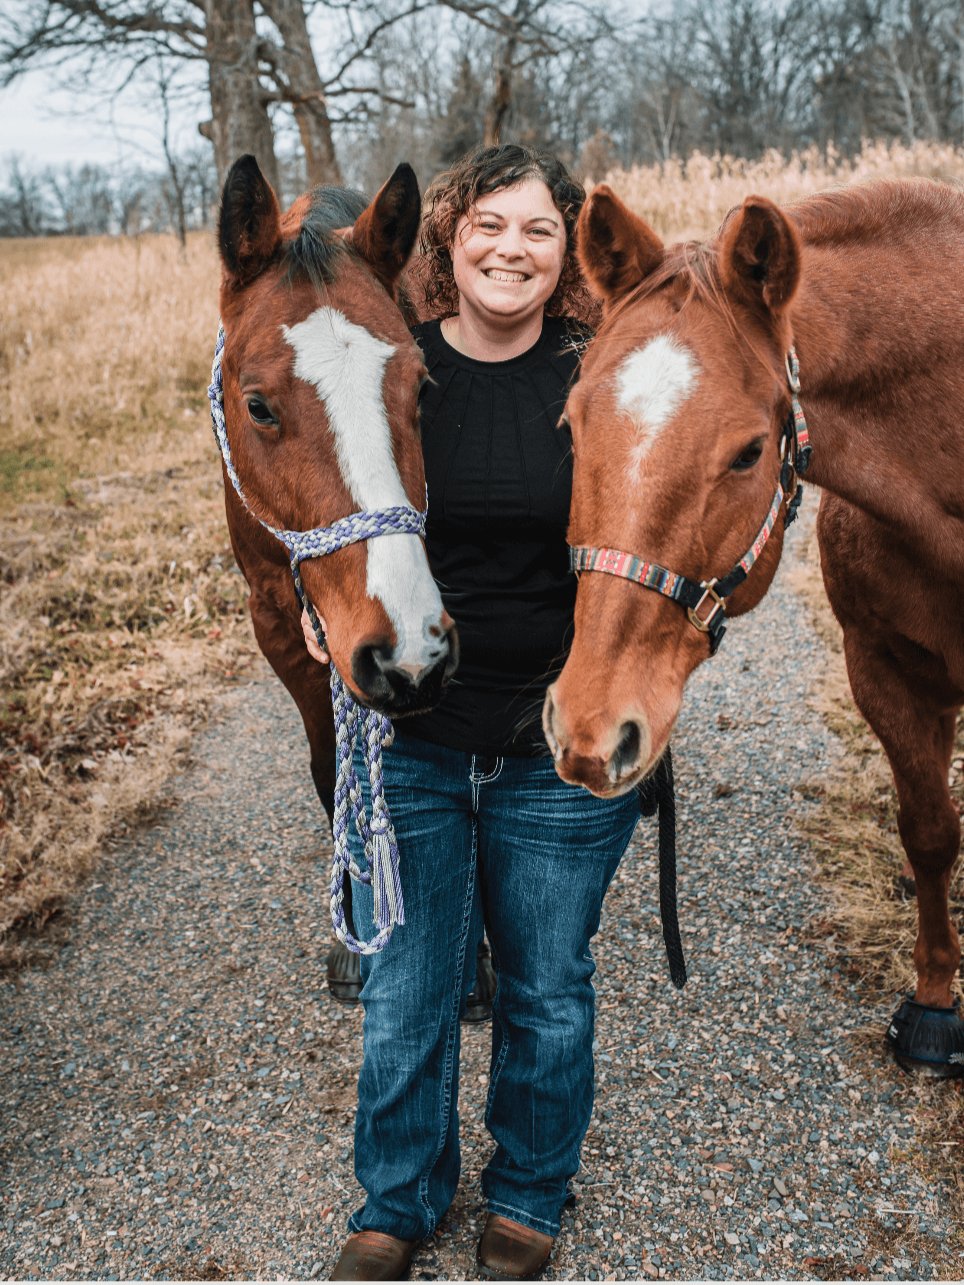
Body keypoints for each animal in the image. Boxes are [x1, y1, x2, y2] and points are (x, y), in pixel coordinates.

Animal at [543, 178, 964, 1075]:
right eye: (570, 425)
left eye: (746, 453)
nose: (590, 730)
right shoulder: (885, 675)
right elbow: (929, 831)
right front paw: (936, 1002)